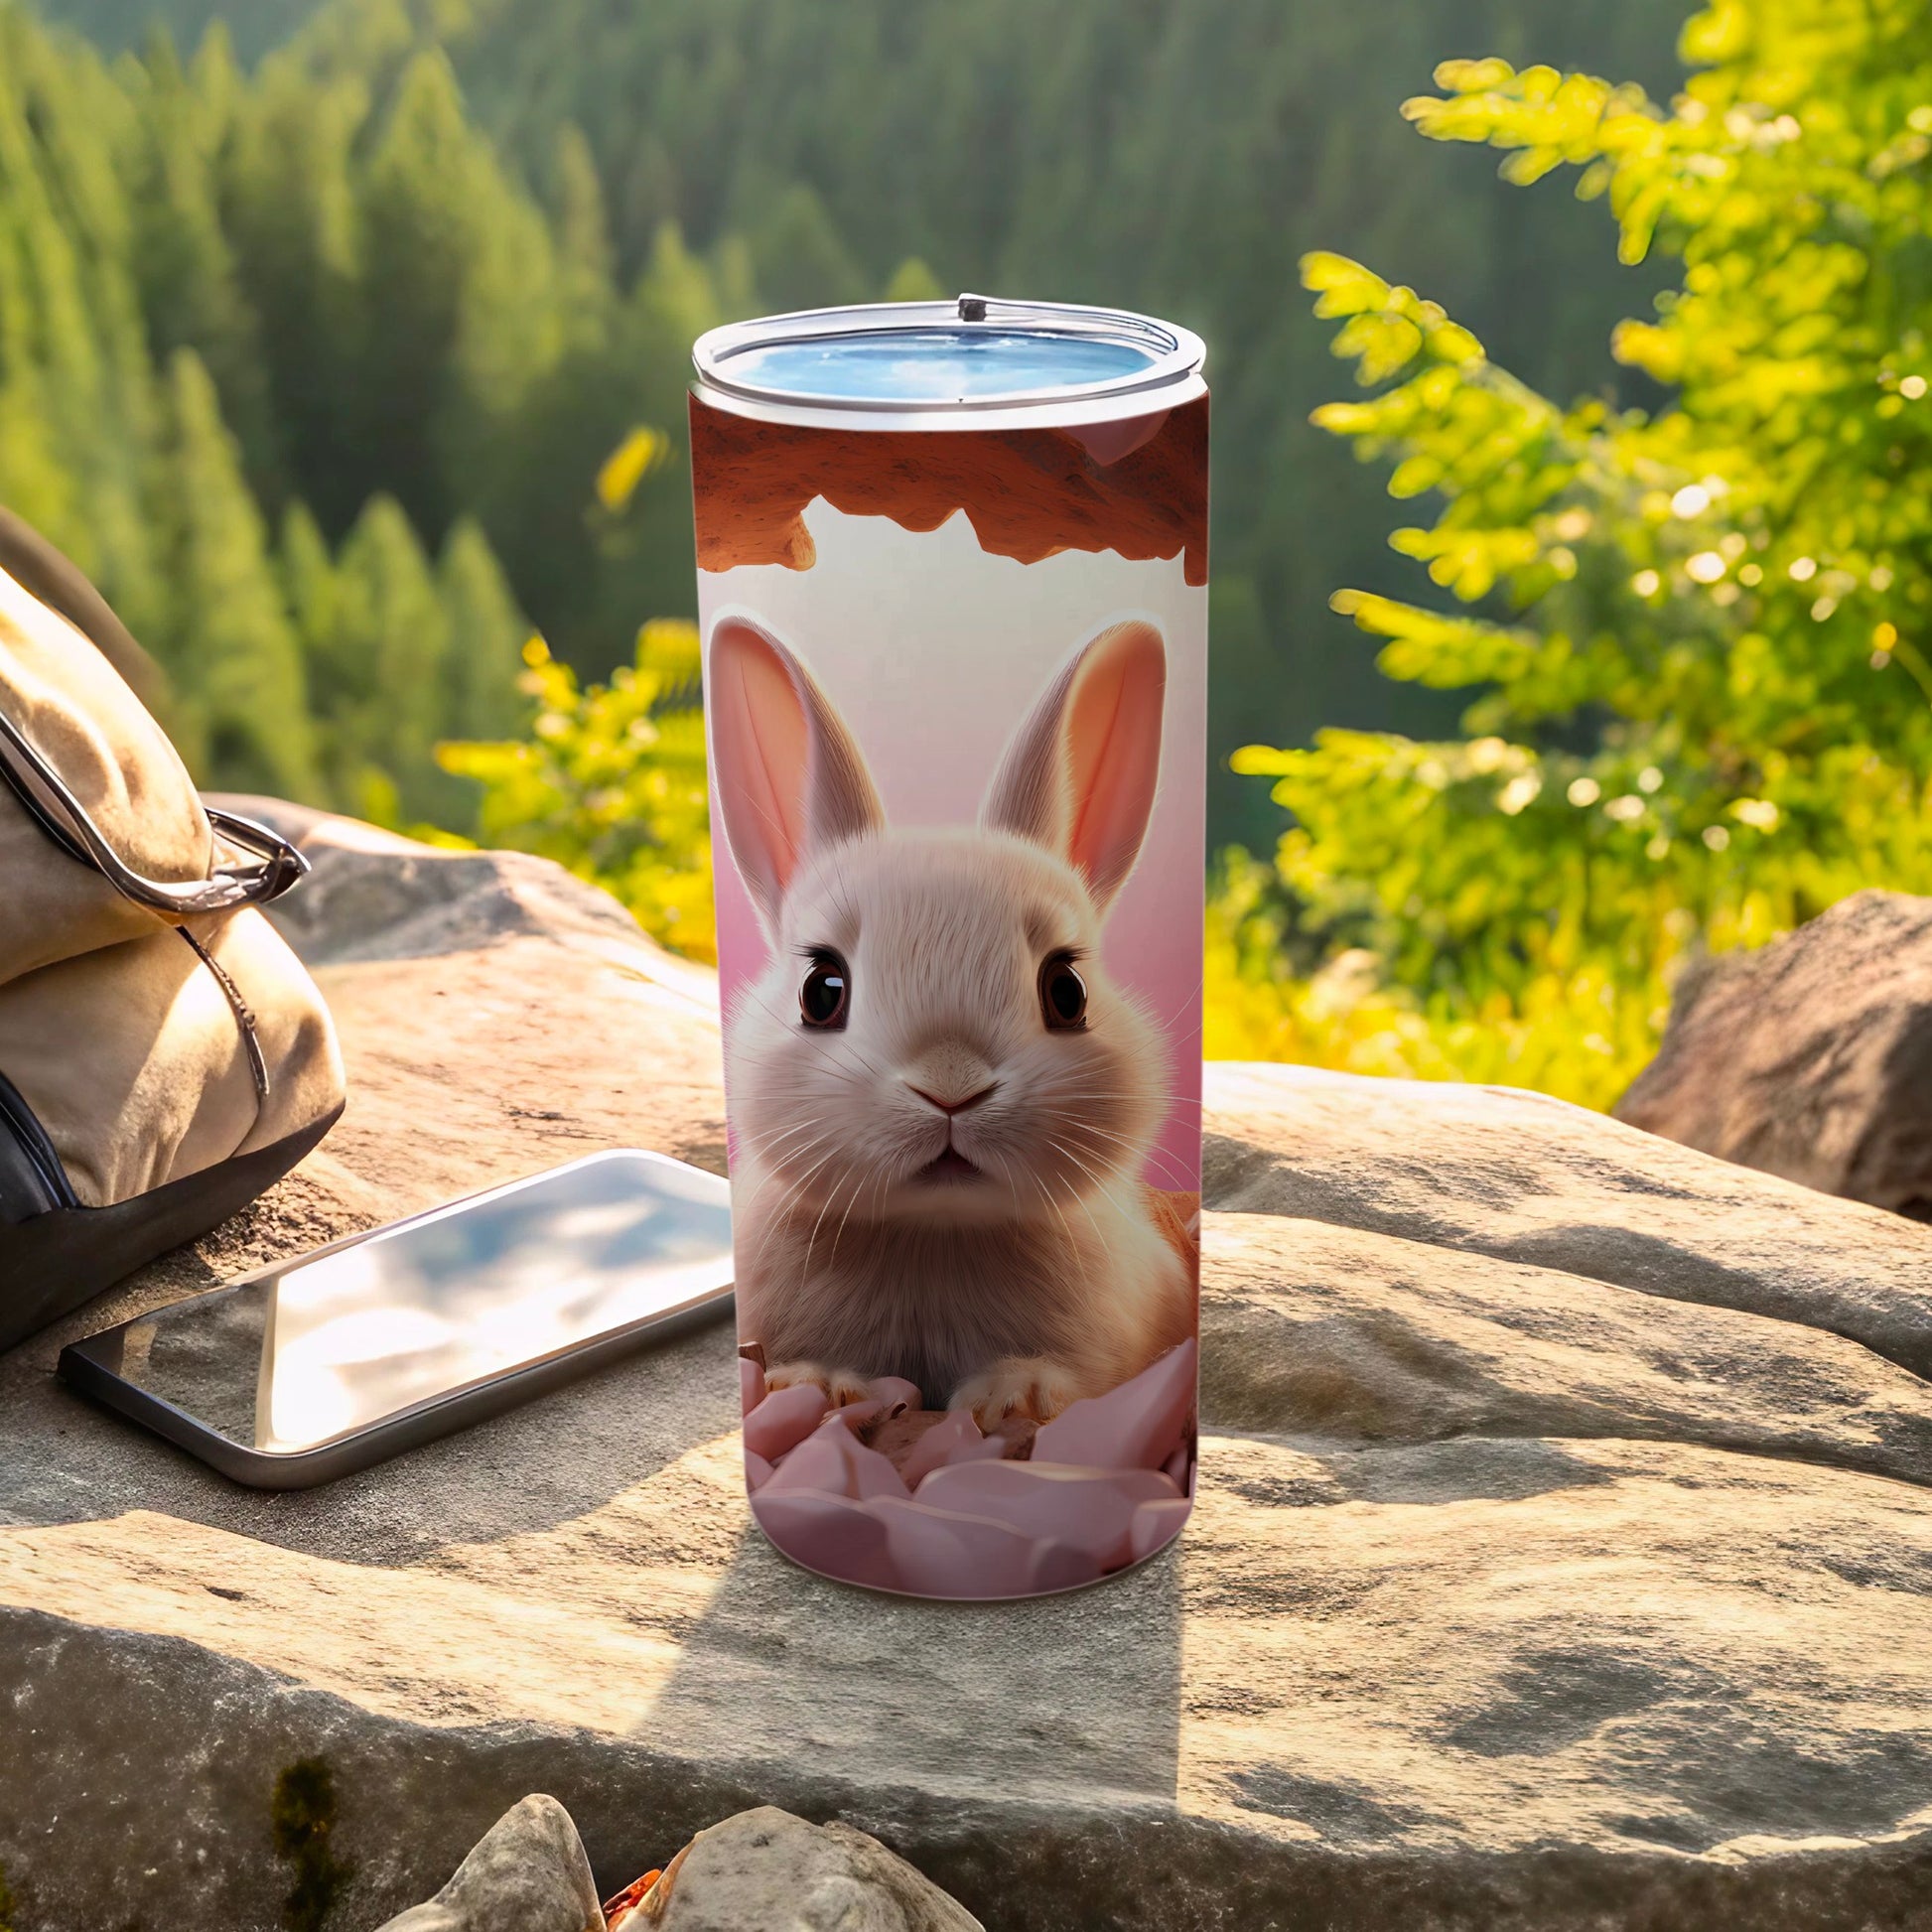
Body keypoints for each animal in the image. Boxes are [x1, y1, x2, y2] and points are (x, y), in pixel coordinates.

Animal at [708, 610, 1194, 1428]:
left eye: (1067, 991)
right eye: (820, 990)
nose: (951, 1089)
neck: (935, 1233)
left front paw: (1013, 1401)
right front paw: (817, 1388)